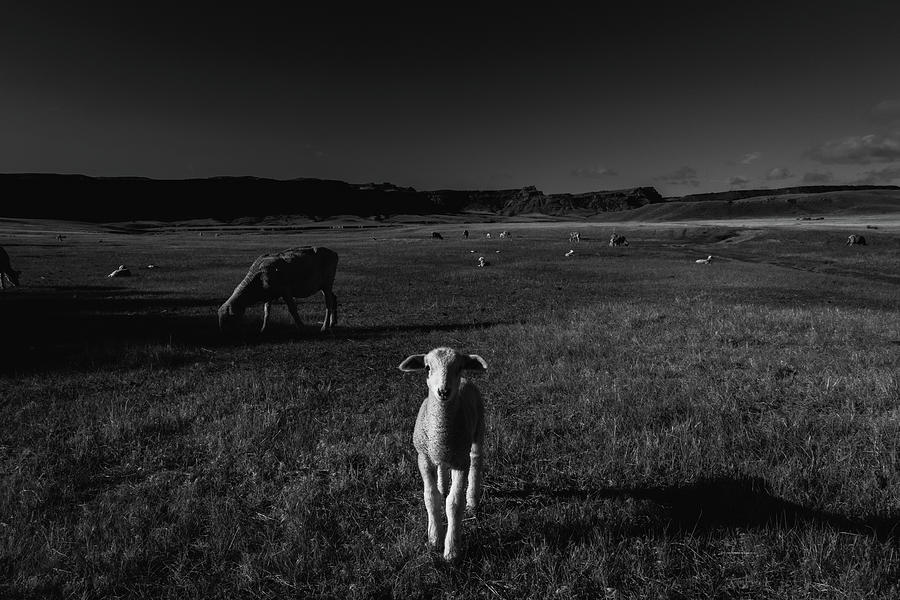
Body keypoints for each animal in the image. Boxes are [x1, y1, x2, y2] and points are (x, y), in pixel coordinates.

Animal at [400, 346, 488, 564]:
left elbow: (454, 503)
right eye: (427, 367)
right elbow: (431, 497)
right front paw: (434, 539)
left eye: (459, 367)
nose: (443, 391)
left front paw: (451, 550)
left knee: (476, 459)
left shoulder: (461, 461)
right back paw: (442, 486)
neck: (441, 431)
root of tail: (466, 381)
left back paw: (473, 500)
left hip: (478, 430)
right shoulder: (423, 456)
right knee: (441, 470)